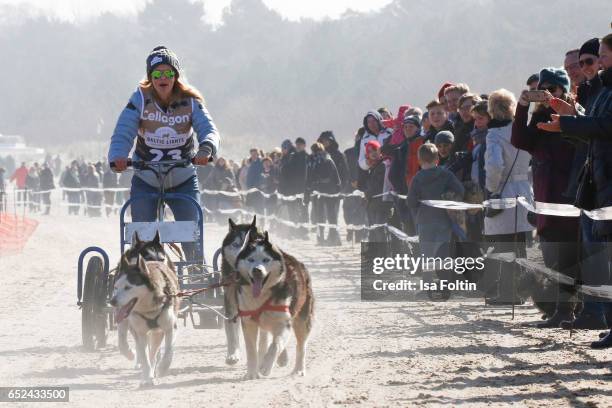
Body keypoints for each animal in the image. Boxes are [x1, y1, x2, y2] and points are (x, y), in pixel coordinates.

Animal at [110, 252, 179, 386]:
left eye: (128, 287)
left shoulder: (170, 328)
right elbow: (144, 356)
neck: (149, 309)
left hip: (157, 333)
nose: (112, 301)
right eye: (115, 287)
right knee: (127, 342)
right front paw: (146, 377)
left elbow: (168, 352)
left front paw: (162, 368)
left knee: (154, 353)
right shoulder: (140, 332)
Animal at [233, 230, 314, 380]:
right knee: (268, 336)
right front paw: (252, 372)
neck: (262, 297)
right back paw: (281, 358)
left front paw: (266, 366)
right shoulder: (248, 322)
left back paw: (298, 369)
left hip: (301, 319)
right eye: (251, 259)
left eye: (266, 259)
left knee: (301, 345)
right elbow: (251, 350)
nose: (257, 270)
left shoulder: (284, 322)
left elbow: (275, 345)